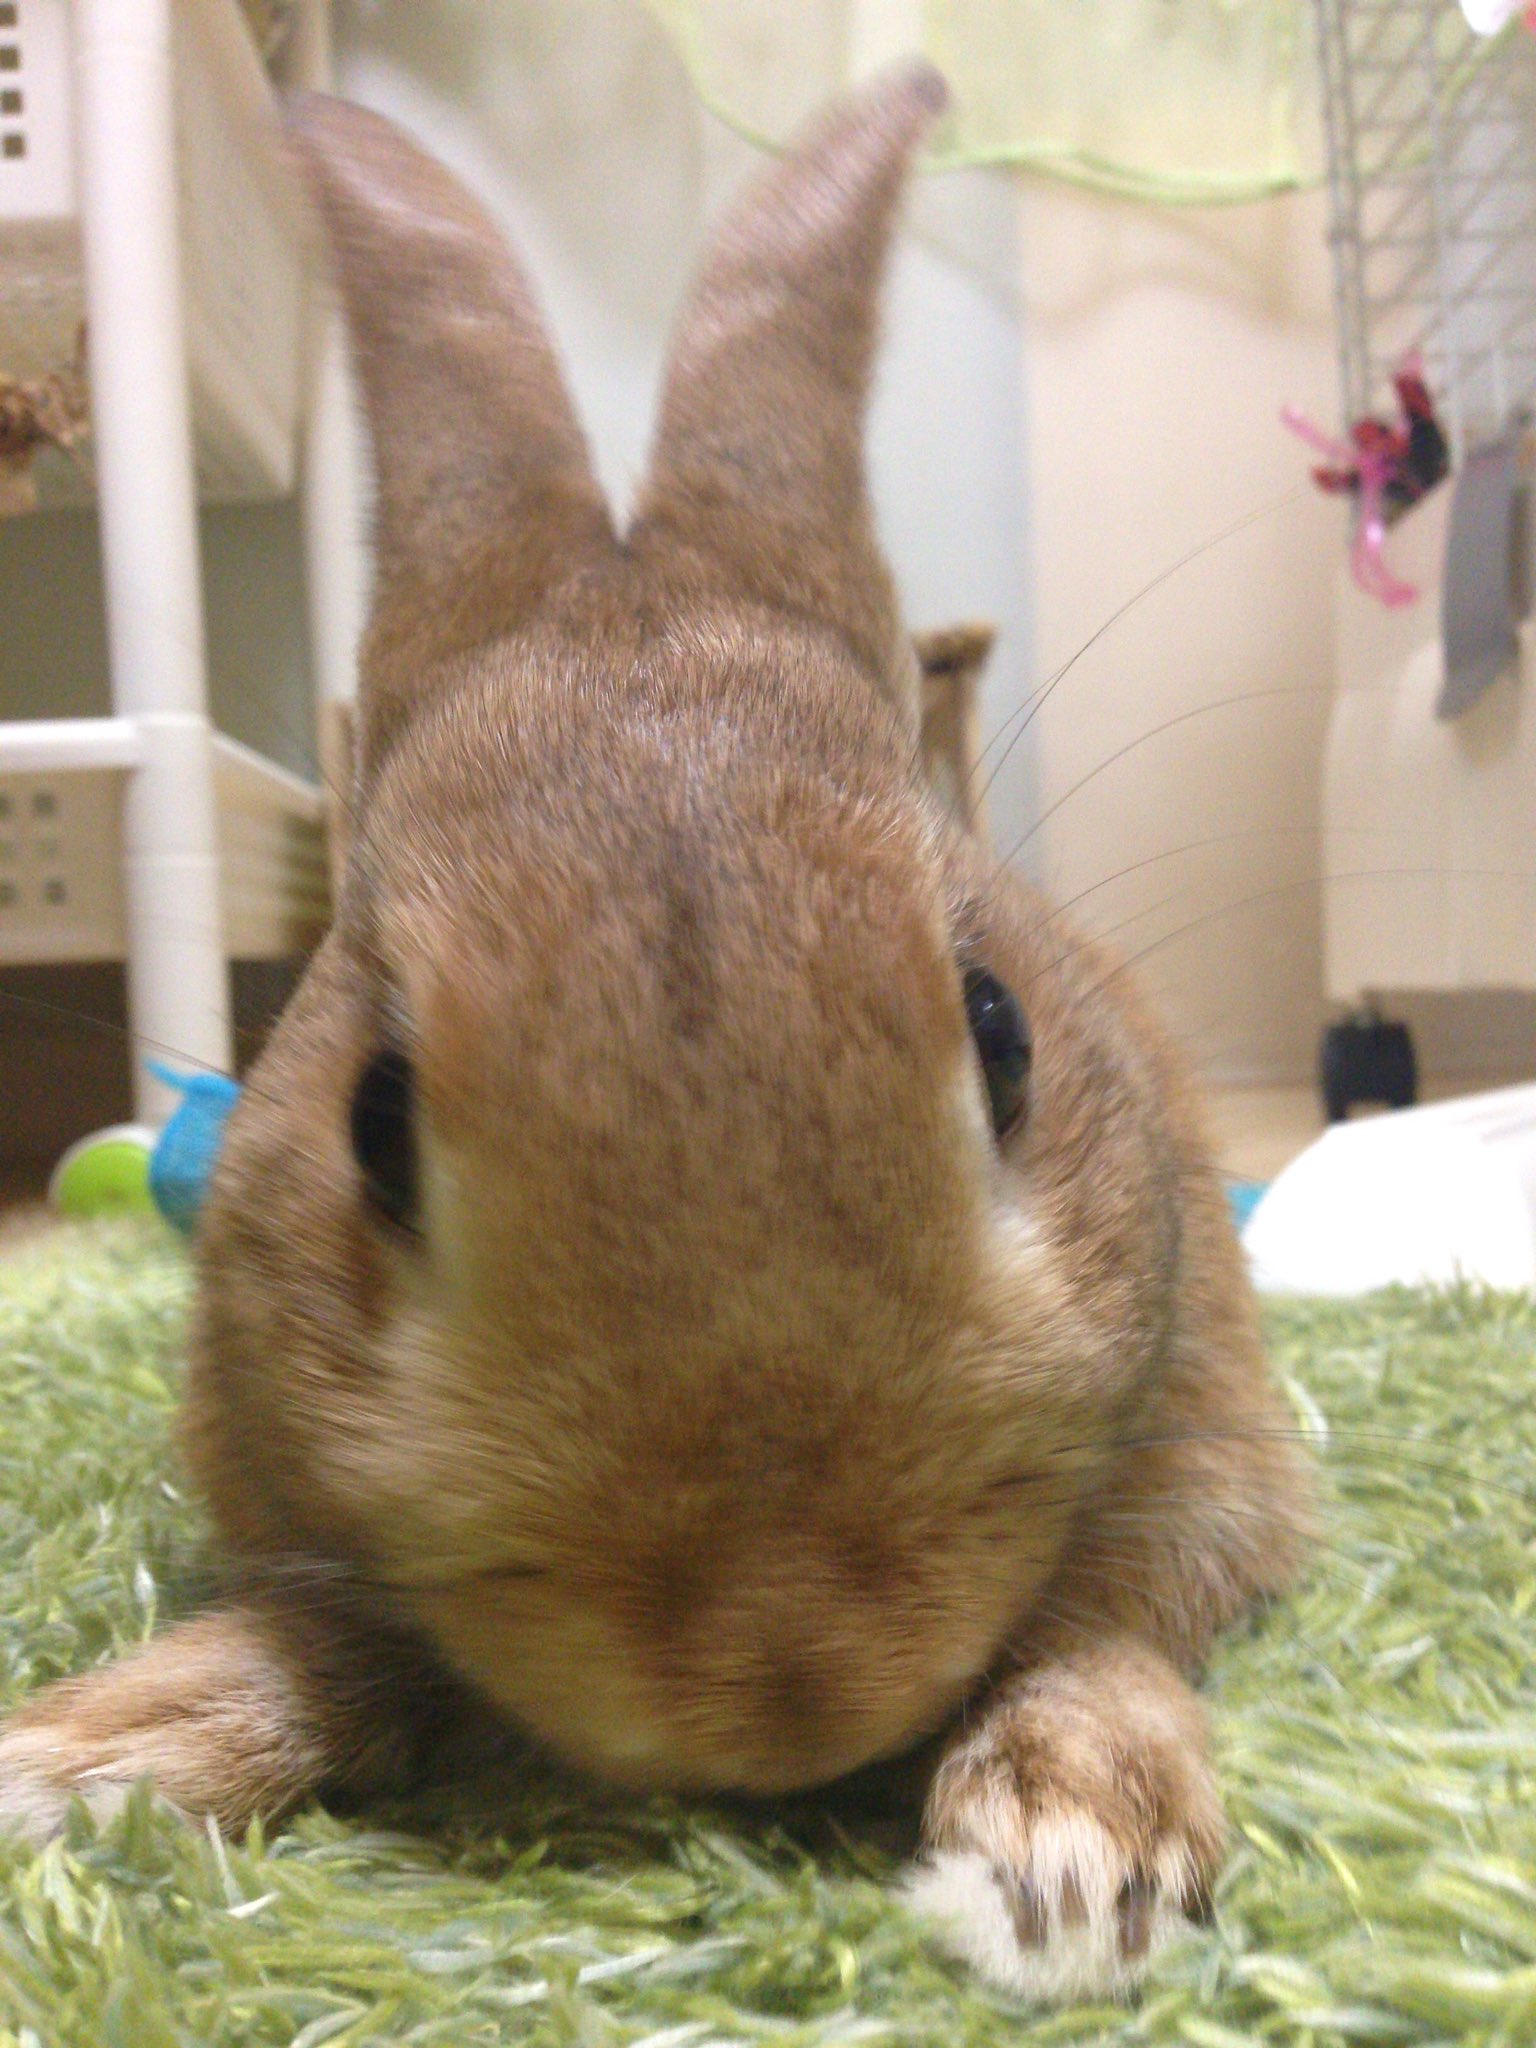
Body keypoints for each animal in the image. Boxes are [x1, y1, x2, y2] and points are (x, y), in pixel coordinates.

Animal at [0, 68, 1310, 1998]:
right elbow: (318, 1647)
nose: (783, 1677)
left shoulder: (1207, 1452)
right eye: (373, 1118)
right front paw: (83, 1758)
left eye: (1002, 1035)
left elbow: (1114, 1630)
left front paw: (1065, 1868)